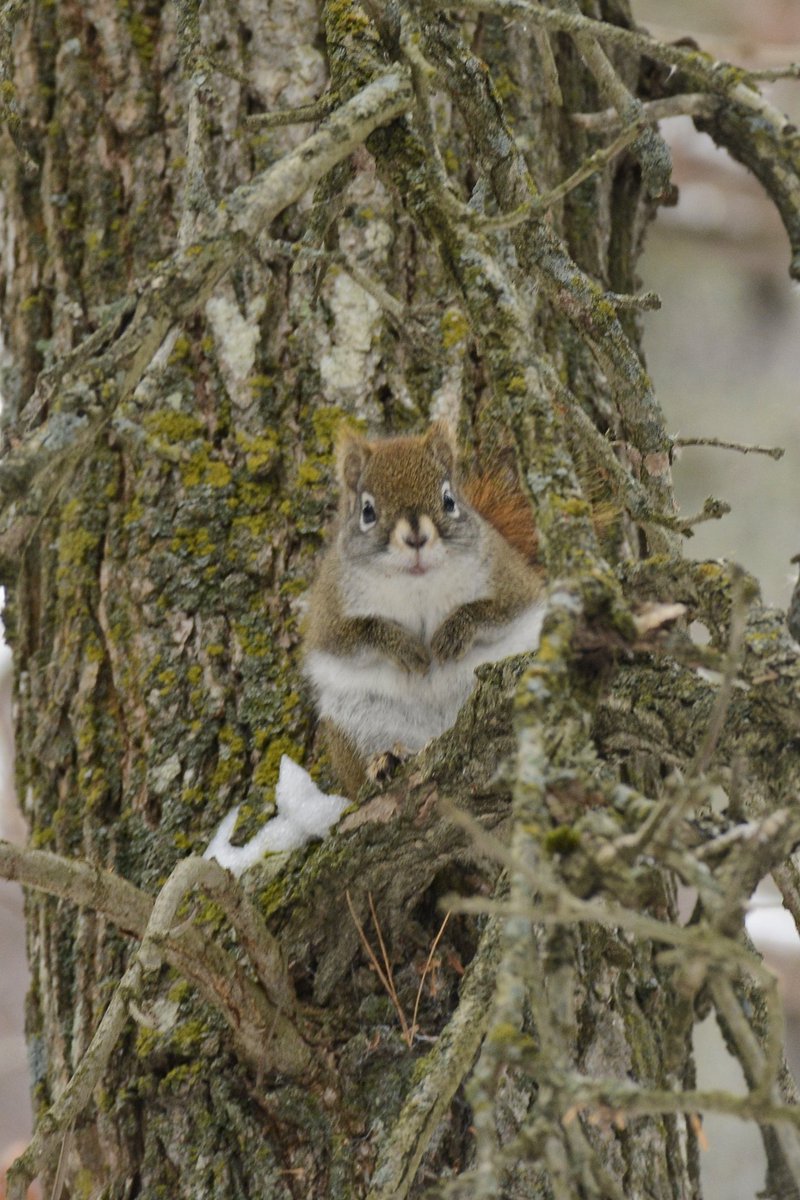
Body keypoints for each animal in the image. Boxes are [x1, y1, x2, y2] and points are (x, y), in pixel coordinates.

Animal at [302, 422, 546, 797]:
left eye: (448, 500)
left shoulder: (509, 580)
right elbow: (355, 634)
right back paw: (385, 761)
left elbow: (493, 610)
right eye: (367, 512)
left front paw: (451, 634)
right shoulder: (330, 608)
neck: (416, 583)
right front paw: (404, 647)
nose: (416, 538)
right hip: (355, 722)